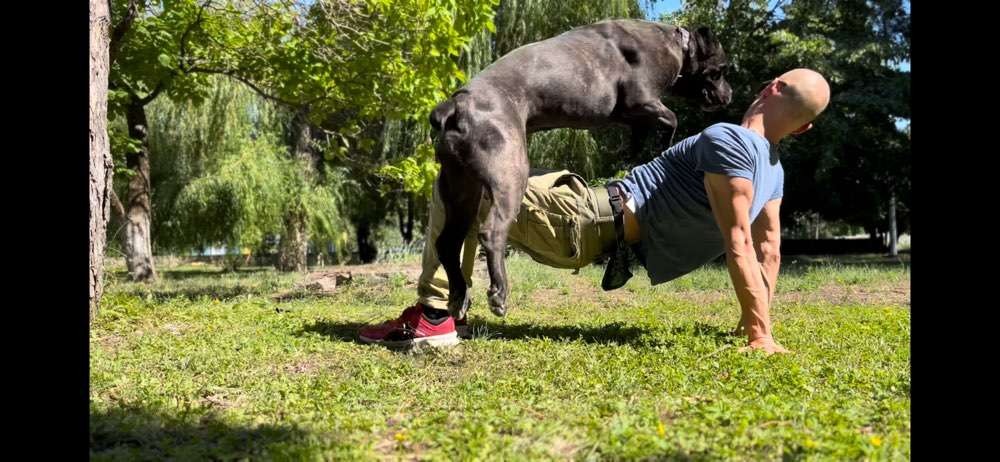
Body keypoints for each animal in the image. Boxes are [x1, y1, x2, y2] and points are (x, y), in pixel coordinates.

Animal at [430, 19, 736, 322]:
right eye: (721, 70)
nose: (730, 95)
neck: (678, 44)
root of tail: (456, 105)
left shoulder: (633, 115)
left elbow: (638, 138)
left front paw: (633, 155)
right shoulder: (642, 101)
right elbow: (672, 119)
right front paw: (664, 143)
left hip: (461, 190)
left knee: (447, 243)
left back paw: (459, 297)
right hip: (509, 175)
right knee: (491, 232)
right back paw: (499, 294)